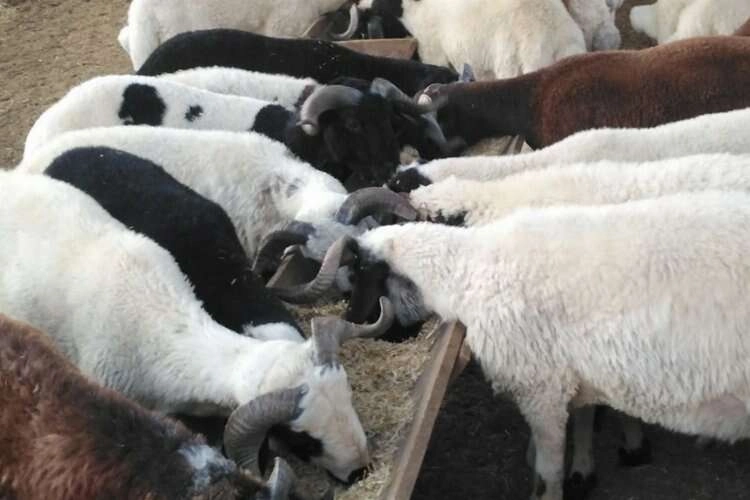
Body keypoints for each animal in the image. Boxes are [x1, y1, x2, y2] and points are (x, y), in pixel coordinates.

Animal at [314, 190, 750, 500]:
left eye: (359, 272)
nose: (354, 322)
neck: (466, 272)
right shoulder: (575, 375)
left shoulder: (541, 389)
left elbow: (547, 474)